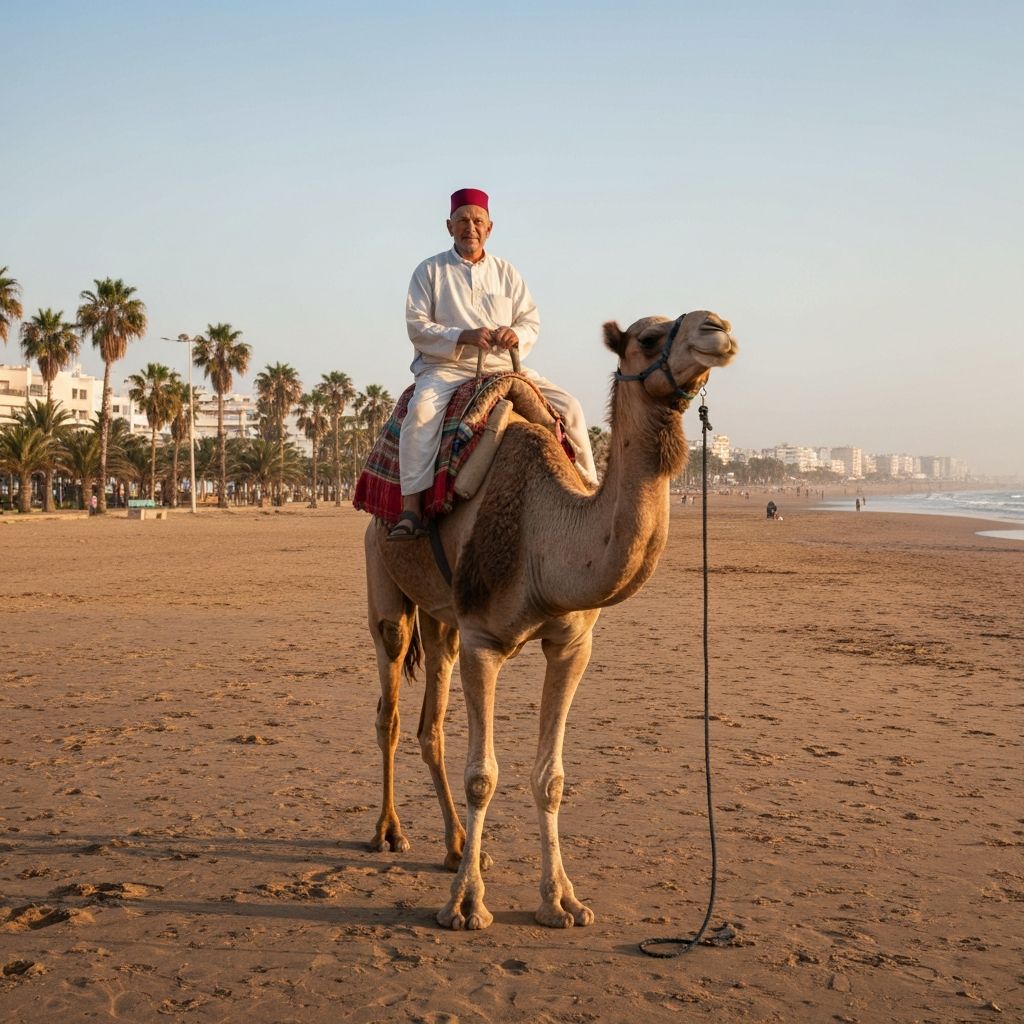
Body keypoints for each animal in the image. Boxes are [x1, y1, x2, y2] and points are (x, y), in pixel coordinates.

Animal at [364, 310, 738, 930]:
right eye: (648, 338)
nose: (718, 327)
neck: (543, 533)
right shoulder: (484, 640)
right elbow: (483, 775)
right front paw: (467, 906)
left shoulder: (571, 643)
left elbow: (551, 777)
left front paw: (562, 900)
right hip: (385, 585)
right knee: (390, 710)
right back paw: (390, 834)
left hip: (443, 621)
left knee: (430, 726)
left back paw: (459, 846)